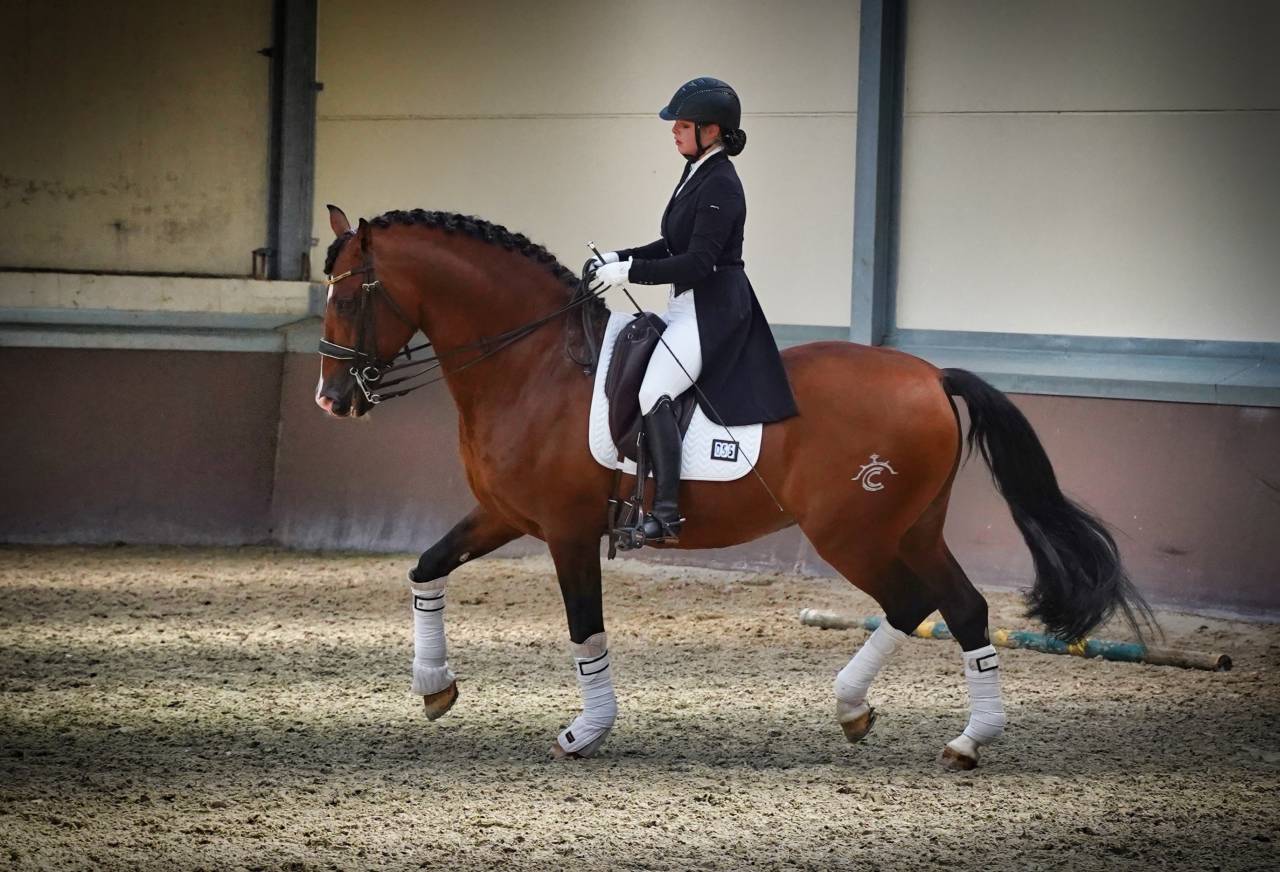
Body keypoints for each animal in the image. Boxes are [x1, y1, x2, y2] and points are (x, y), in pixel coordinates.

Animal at [315, 205, 1151, 770]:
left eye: (351, 296)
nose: (330, 400)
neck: (532, 366)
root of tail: (928, 374)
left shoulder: (567, 530)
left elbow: (585, 630)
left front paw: (586, 731)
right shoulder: (503, 514)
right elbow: (426, 569)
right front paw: (434, 687)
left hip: (853, 532)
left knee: (916, 601)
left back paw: (878, 713)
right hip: (912, 526)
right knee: (960, 607)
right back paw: (953, 736)